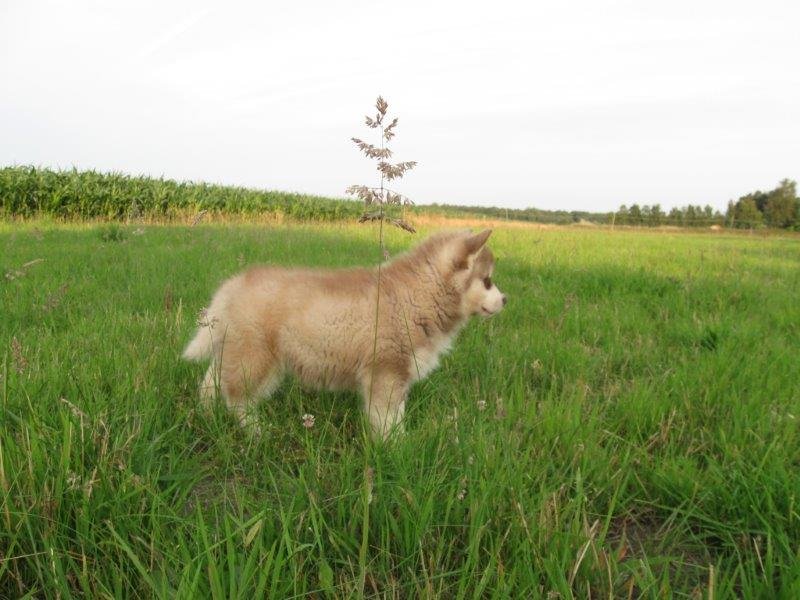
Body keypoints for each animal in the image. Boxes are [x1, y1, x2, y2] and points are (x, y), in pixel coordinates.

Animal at [182, 229, 506, 438]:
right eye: (488, 281)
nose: (505, 299)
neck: (419, 295)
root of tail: (234, 283)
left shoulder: (398, 376)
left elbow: (397, 416)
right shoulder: (386, 372)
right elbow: (387, 421)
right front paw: (396, 450)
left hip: (233, 349)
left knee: (211, 382)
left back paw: (205, 415)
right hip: (257, 358)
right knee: (236, 396)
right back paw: (255, 431)